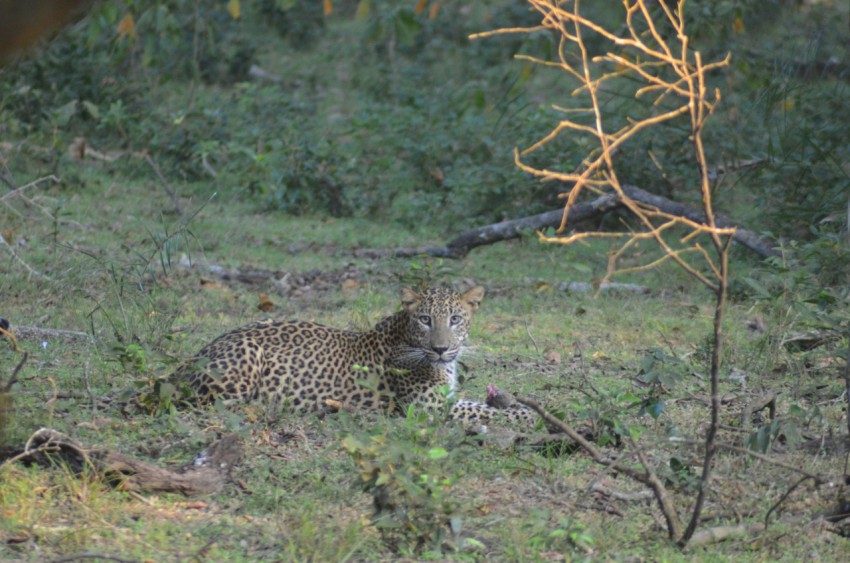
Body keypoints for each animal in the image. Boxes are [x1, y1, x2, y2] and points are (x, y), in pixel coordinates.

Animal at [172, 285, 537, 429]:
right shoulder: (427, 409)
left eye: (456, 319)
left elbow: (481, 404)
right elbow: (485, 413)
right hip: (246, 357)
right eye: (425, 319)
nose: (440, 348)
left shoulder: (445, 399)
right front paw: (530, 416)